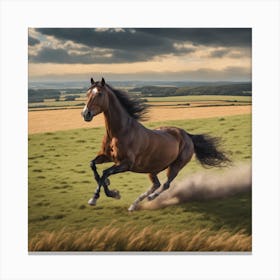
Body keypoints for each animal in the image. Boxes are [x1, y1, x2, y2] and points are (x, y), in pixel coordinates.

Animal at [81, 77, 230, 211]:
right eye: (87, 93)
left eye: (99, 93)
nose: (85, 114)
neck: (120, 131)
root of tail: (187, 136)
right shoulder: (107, 157)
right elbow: (93, 166)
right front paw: (112, 190)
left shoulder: (126, 163)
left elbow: (105, 172)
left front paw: (97, 198)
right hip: (154, 168)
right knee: (156, 184)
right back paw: (134, 205)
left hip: (176, 166)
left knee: (166, 184)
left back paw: (150, 198)